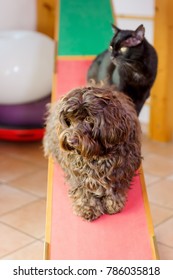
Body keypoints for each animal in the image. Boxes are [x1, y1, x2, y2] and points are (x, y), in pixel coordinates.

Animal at [43, 85, 142, 221]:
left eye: (88, 118)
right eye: (69, 120)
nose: (70, 140)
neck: (98, 154)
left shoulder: (122, 168)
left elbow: (116, 186)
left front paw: (113, 202)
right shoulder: (78, 173)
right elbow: (83, 189)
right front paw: (87, 207)